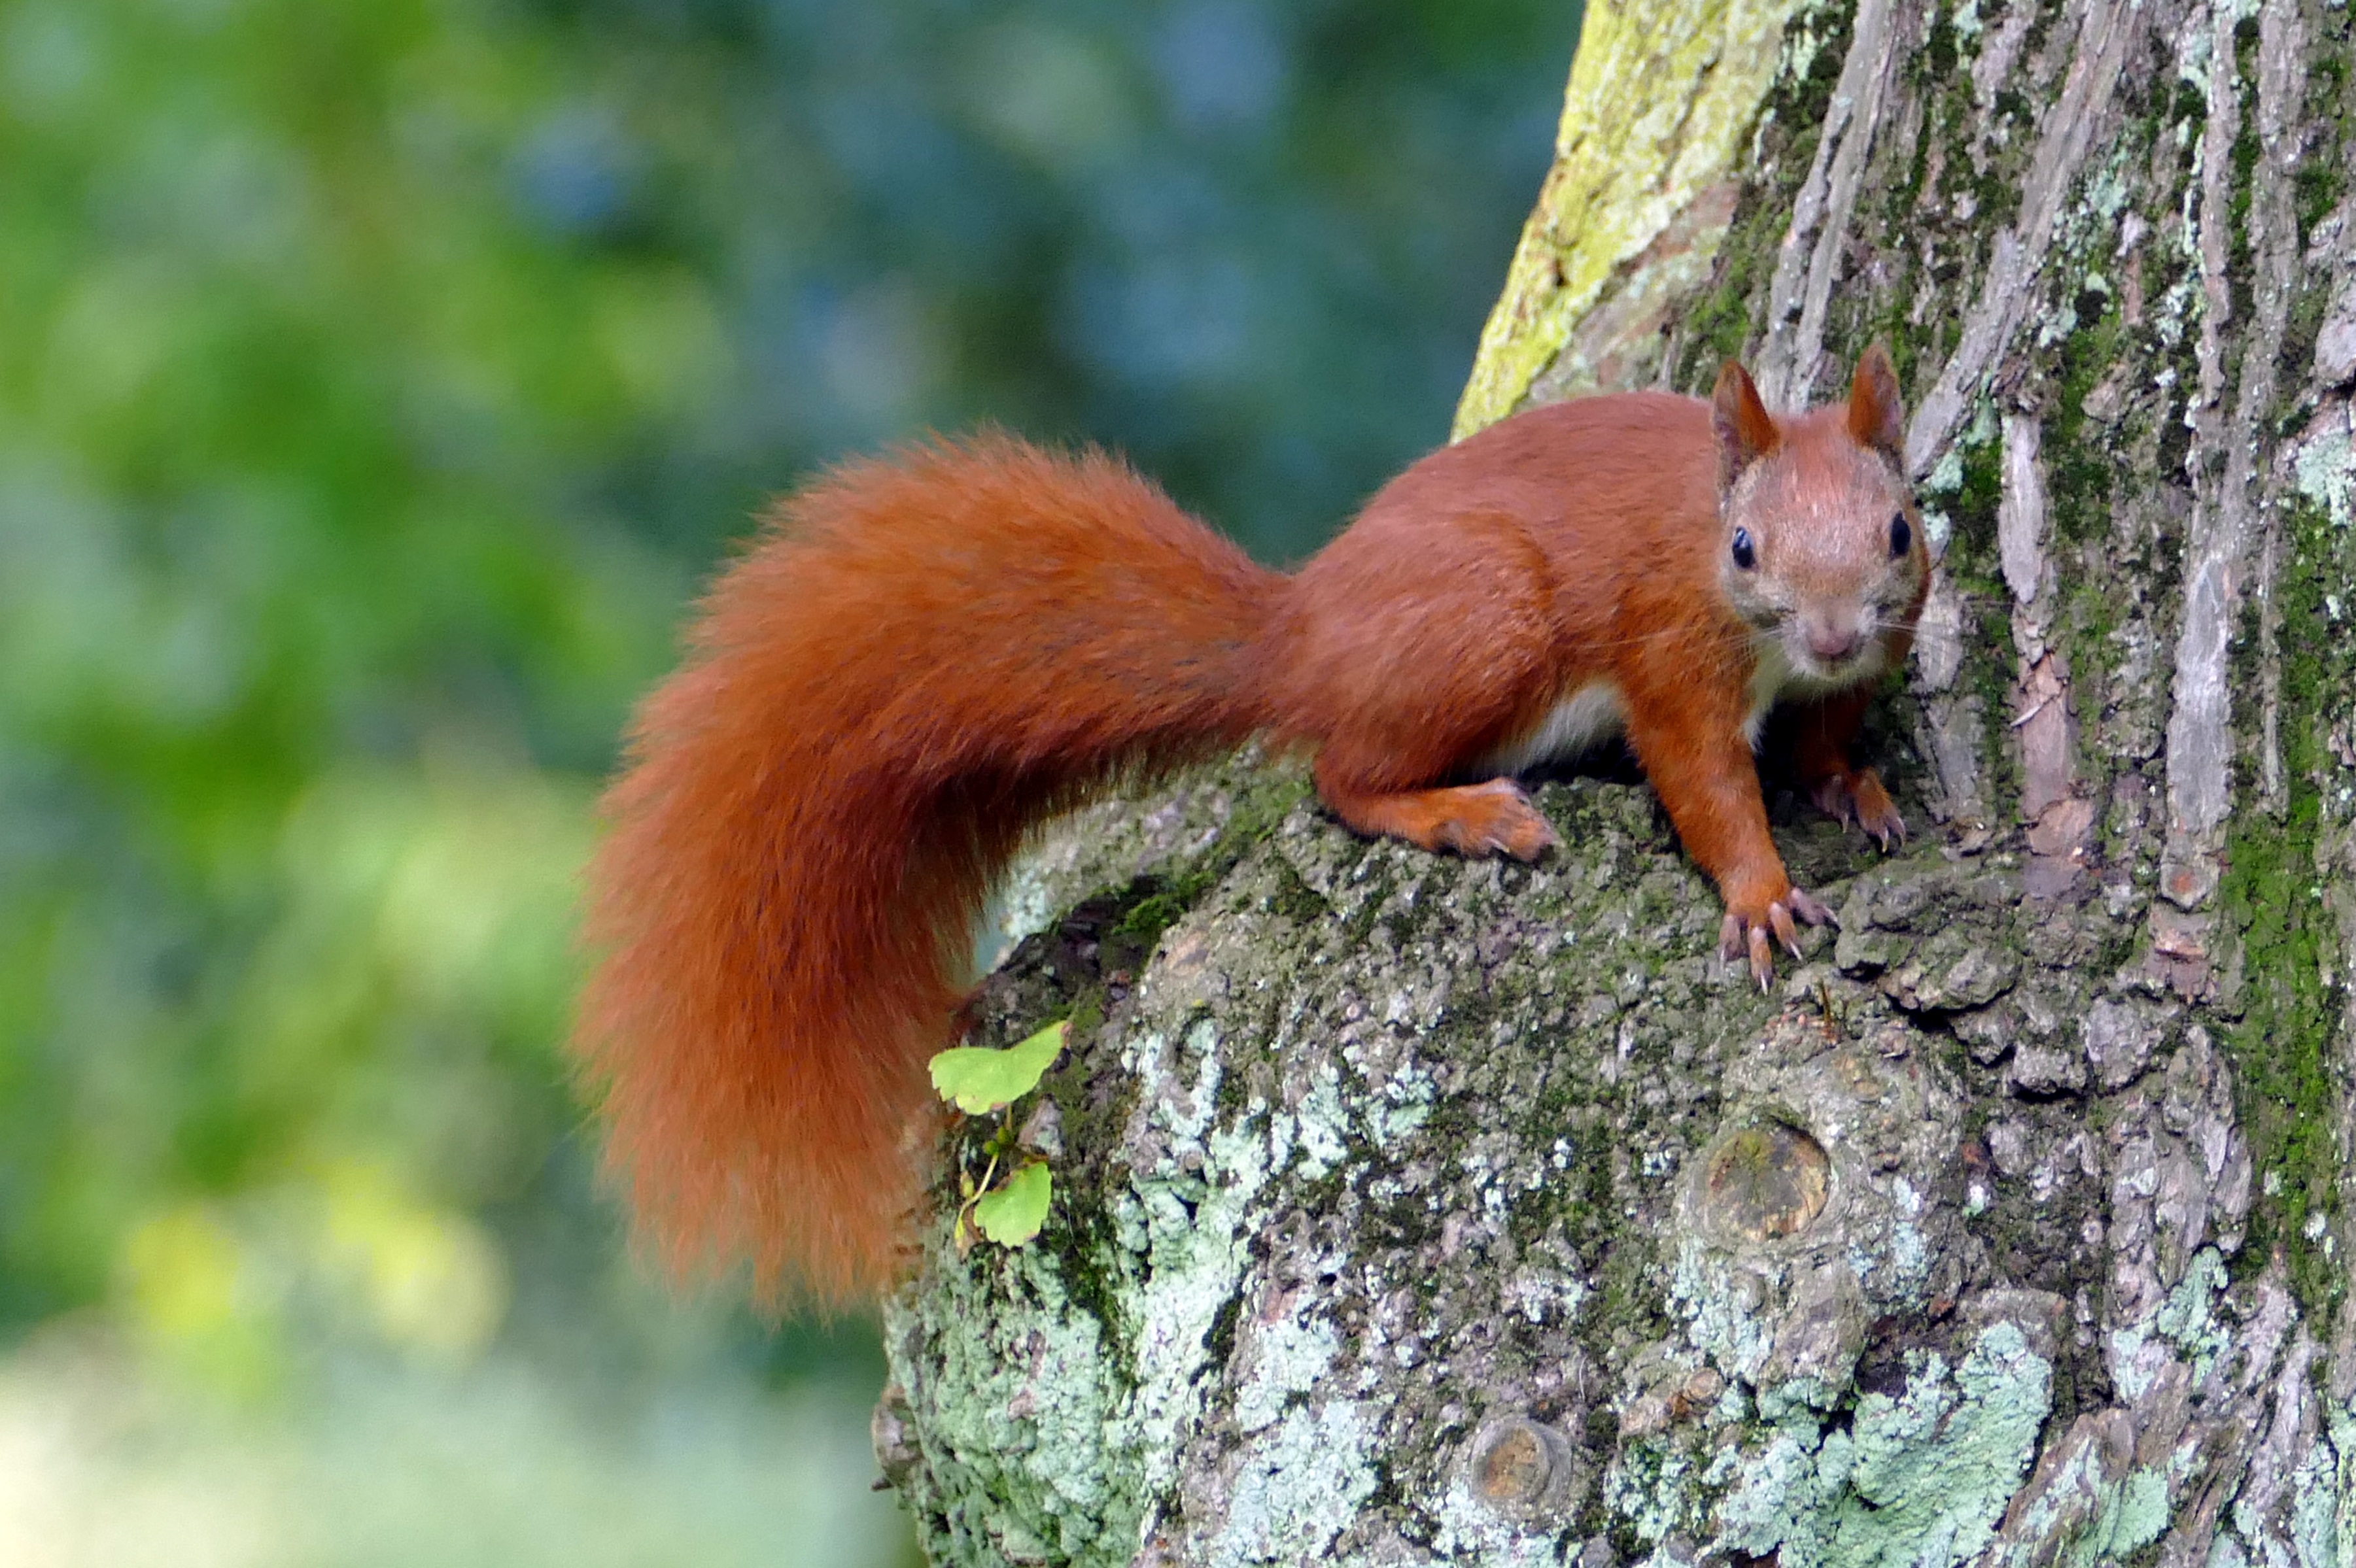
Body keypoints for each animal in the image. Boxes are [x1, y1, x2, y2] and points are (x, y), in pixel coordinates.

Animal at [580, 348, 1922, 1299]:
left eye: (1900, 529)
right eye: (1742, 547)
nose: (1828, 631)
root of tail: (1299, 636)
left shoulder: (1858, 661)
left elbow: (1823, 735)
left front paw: (1856, 787)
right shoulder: (1671, 659)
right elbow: (1701, 780)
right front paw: (1759, 893)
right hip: (1486, 624)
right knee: (1339, 773)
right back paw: (1455, 813)